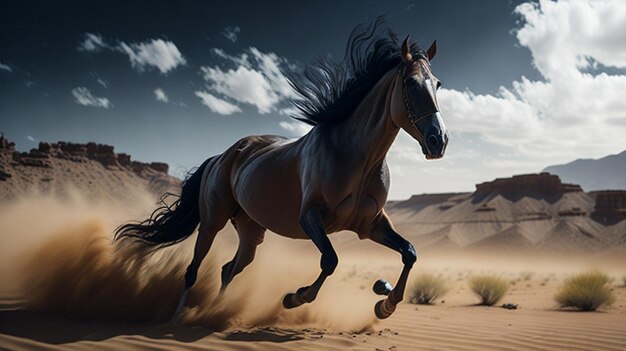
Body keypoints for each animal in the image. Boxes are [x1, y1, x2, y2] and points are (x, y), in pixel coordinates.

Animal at [114, 20, 446, 322]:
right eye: (411, 83)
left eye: (438, 84)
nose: (438, 141)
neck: (356, 156)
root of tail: (221, 156)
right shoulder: (310, 217)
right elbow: (330, 260)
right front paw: (293, 297)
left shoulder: (371, 224)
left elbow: (410, 252)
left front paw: (385, 304)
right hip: (211, 222)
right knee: (193, 270)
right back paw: (180, 314)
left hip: (250, 232)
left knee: (228, 269)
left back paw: (215, 310)